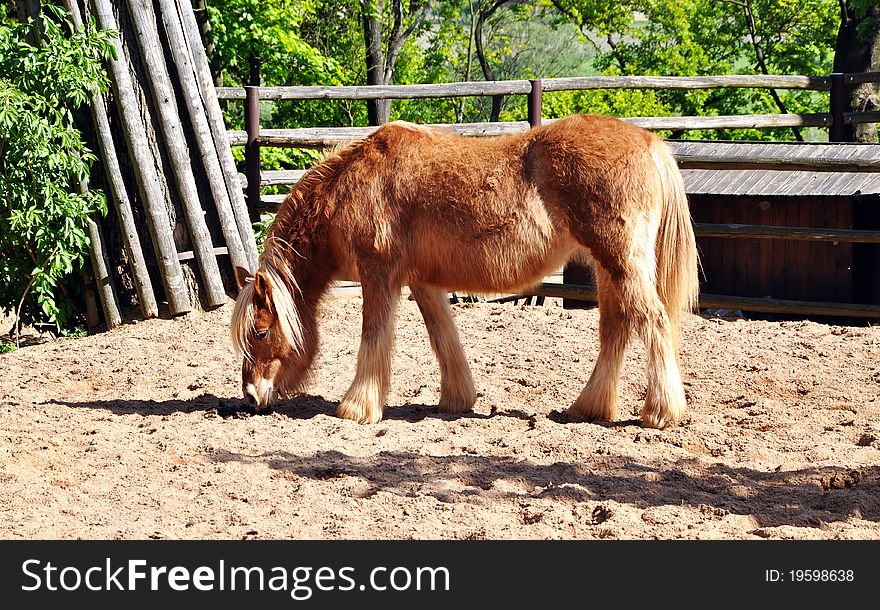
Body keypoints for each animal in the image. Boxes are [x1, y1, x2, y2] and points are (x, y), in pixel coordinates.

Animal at [230, 114, 696, 428]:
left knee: (652, 321)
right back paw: (589, 408)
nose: (250, 396)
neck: (350, 186)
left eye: (260, 331)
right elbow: (443, 335)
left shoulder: (378, 274)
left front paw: (357, 407)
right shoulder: (421, 281)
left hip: (621, 264)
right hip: (608, 268)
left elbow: (374, 335)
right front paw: (457, 398)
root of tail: (649, 142)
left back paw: (660, 412)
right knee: (617, 327)